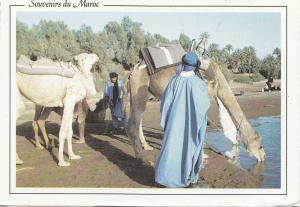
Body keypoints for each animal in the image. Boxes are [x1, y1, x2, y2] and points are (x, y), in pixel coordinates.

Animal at [125, 38, 266, 165]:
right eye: (260, 146)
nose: (263, 157)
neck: (218, 82)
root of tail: (133, 70)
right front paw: (202, 157)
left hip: (142, 94)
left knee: (138, 121)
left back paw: (147, 147)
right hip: (140, 91)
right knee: (133, 124)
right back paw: (143, 159)